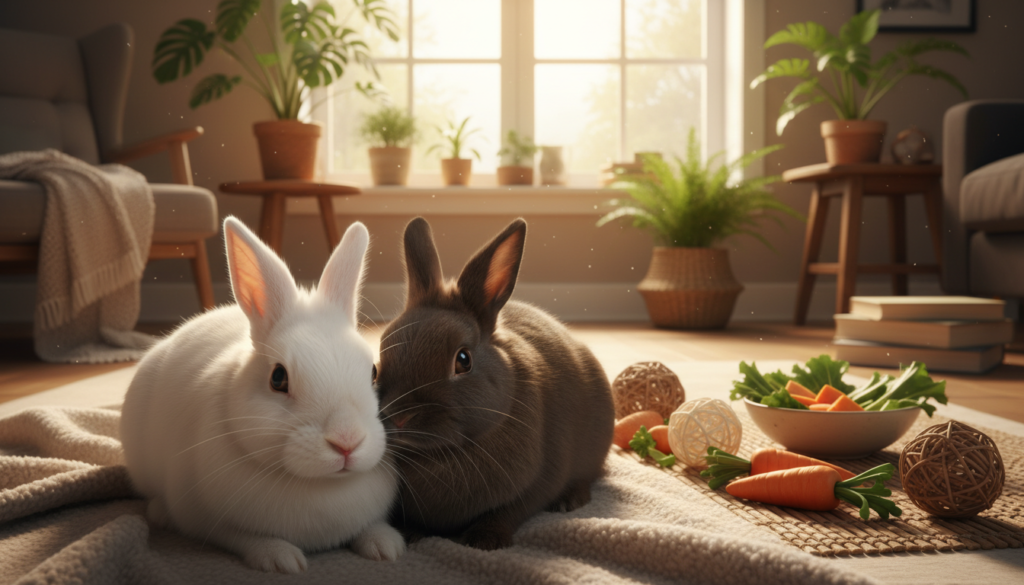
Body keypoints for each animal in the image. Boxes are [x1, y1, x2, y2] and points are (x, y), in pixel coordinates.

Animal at [120, 216, 405, 574]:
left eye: (373, 373)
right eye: (278, 378)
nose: (347, 442)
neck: (321, 485)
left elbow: (373, 526)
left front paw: (387, 546)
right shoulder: (206, 520)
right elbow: (243, 538)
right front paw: (281, 559)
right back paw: (160, 514)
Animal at [374, 217, 615, 550]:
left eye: (463, 360)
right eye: (376, 366)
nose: (399, 417)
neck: (441, 453)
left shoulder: (540, 481)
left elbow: (510, 511)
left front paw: (484, 541)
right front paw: (410, 533)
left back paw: (569, 501)